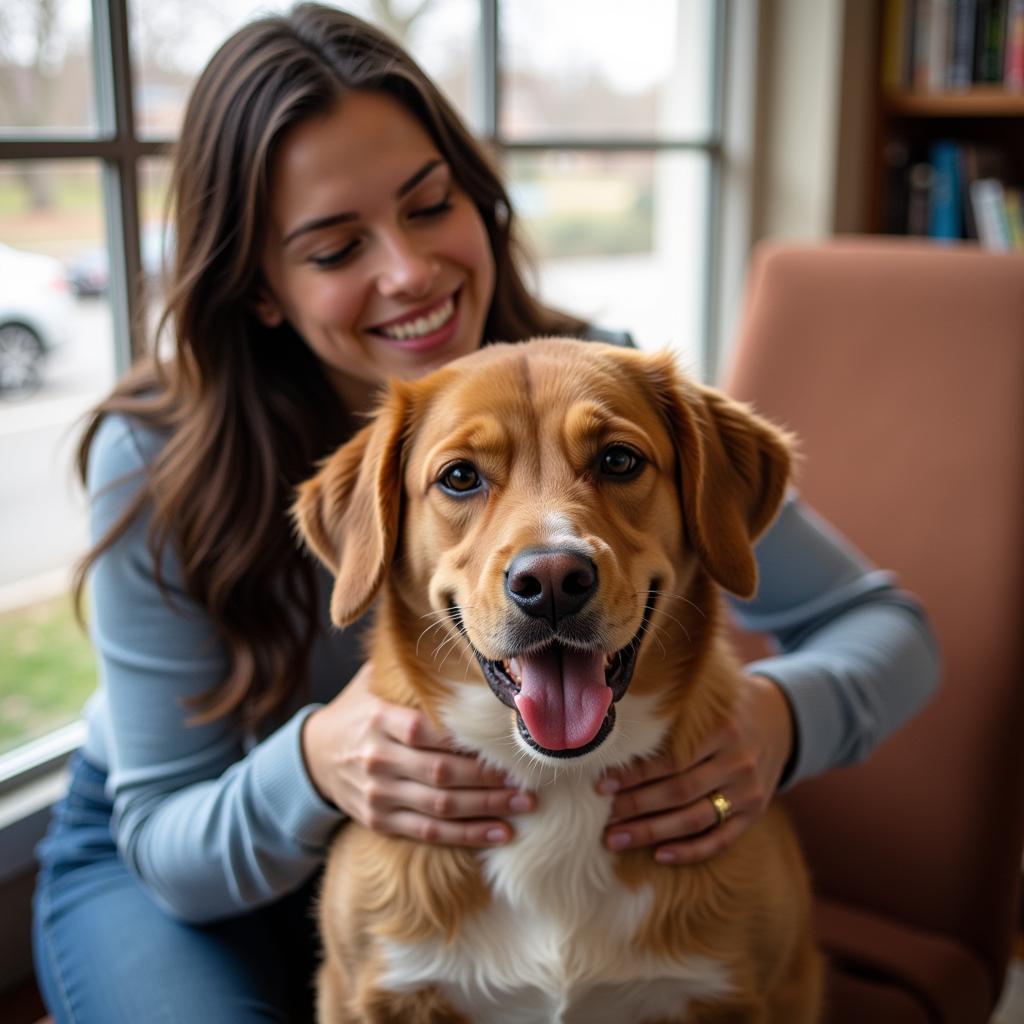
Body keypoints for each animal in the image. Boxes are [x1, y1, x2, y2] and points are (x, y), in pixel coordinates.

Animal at [292, 339, 819, 1019]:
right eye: (459, 476)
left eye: (619, 460)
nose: (549, 582)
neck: (559, 780)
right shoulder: (364, 992)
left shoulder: (758, 990)